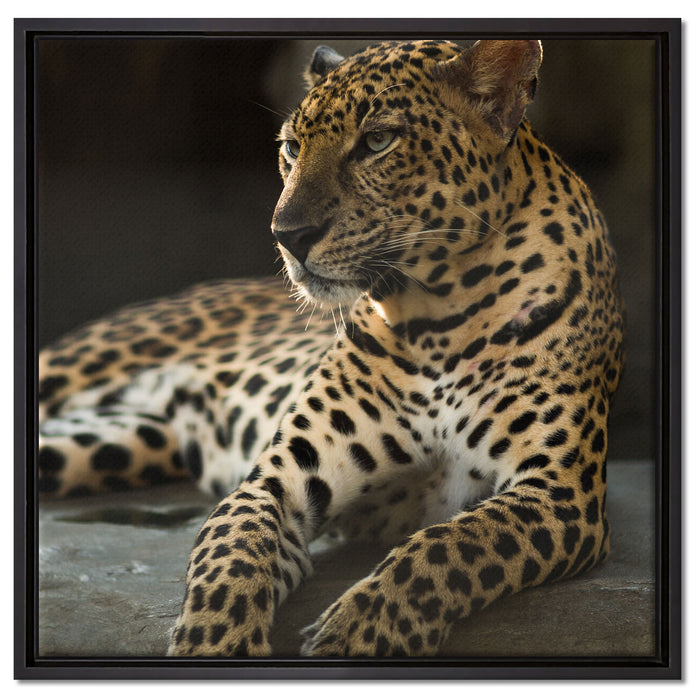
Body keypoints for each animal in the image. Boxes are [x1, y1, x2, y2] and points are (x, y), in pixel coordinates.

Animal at [37, 38, 625, 657]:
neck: (437, 316)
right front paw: (214, 644)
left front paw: (358, 634)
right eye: (292, 149)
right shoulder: (279, 480)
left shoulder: (559, 493)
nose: (287, 235)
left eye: (377, 141)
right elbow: (231, 554)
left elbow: (451, 545)